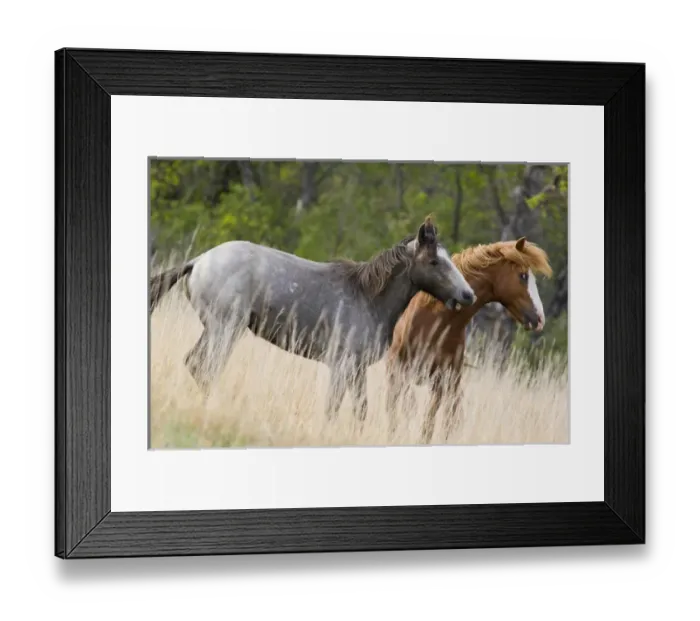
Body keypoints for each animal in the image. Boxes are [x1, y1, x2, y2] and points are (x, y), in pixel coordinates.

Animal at [148, 216, 477, 423]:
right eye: (434, 262)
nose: (468, 295)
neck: (368, 298)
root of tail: (198, 262)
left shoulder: (357, 370)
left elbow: (360, 410)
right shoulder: (341, 366)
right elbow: (332, 408)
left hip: (215, 329)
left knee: (196, 365)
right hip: (226, 329)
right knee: (204, 367)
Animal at [385, 236, 553, 443]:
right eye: (523, 276)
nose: (539, 319)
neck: (435, 321)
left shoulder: (442, 382)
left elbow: (428, 425)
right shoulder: (399, 372)